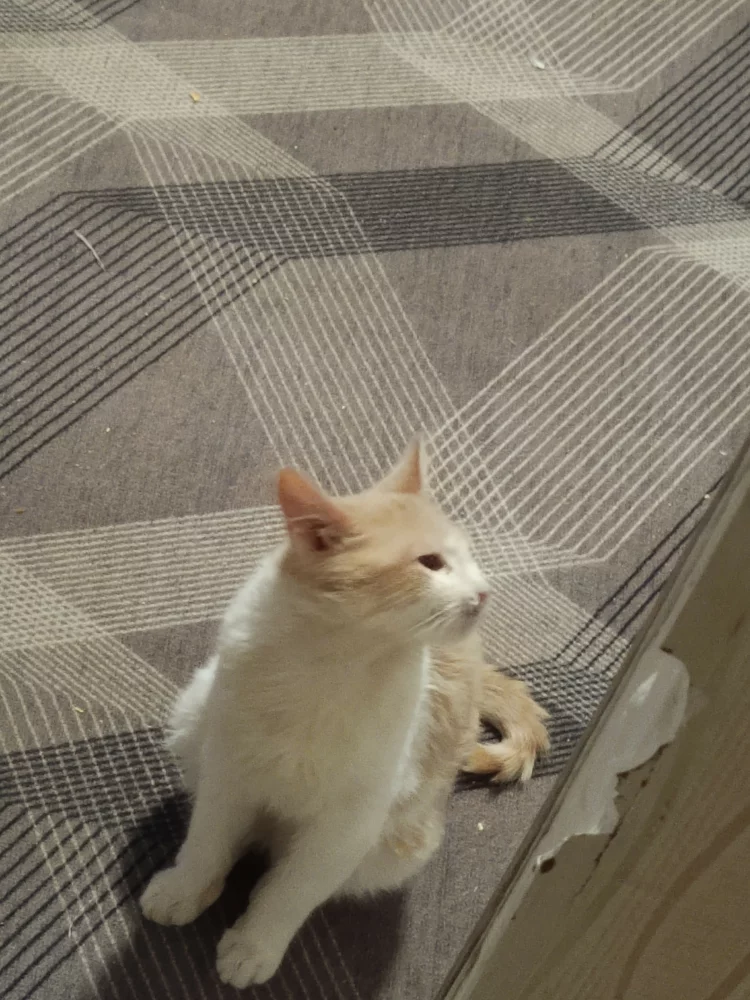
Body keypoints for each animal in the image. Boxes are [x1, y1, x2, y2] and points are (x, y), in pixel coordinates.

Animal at [140, 440, 549, 988]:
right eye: (430, 562)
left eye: (469, 557)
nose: (485, 591)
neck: (333, 661)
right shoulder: (229, 772)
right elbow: (206, 843)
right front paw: (184, 888)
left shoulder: (349, 823)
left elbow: (292, 891)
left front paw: (255, 945)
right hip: (193, 720)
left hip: (395, 843)